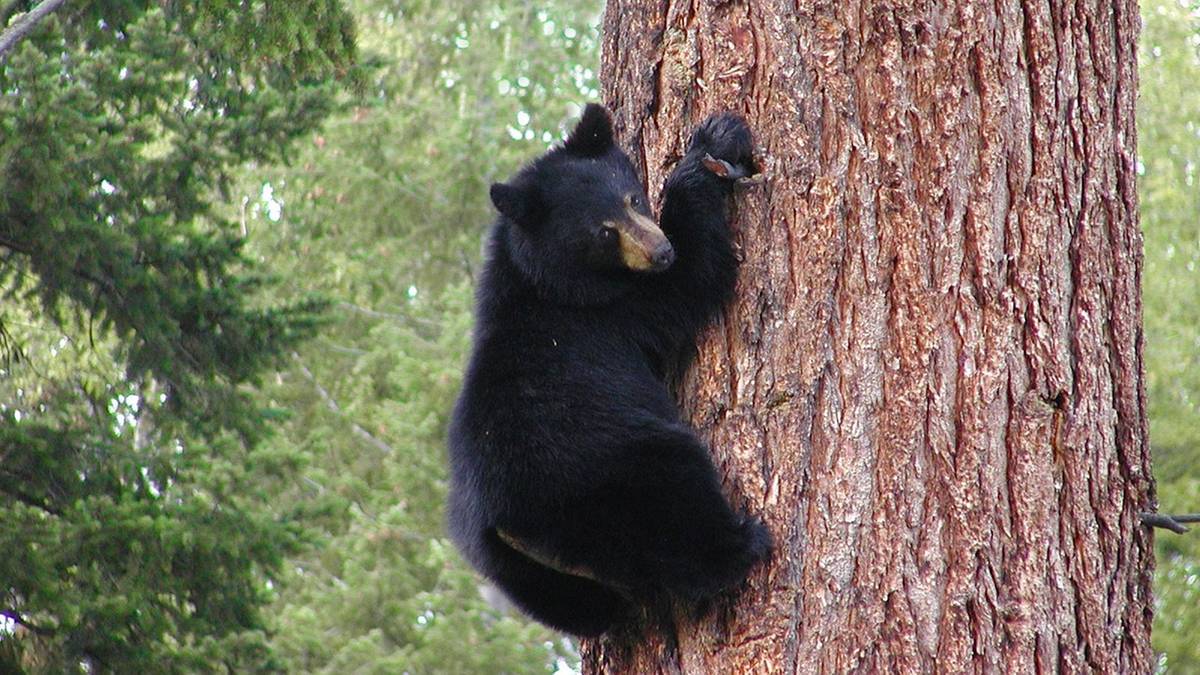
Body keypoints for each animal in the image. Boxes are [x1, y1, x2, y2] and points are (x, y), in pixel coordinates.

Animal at [446, 102, 772, 634]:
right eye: (603, 231)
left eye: (633, 198)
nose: (660, 251)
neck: (535, 278)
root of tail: (510, 527)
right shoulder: (614, 310)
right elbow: (693, 277)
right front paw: (711, 148)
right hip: (611, 480)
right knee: (677, 502)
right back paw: (743, 544)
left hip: (513, 572)